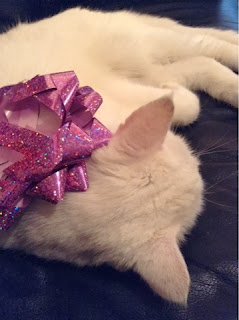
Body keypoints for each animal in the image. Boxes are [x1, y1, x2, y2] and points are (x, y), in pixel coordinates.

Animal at [0, 6, 237, 302]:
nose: (198, 162)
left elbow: (183, 102)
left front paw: (171, 93)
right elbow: (189, 101)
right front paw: (174, 90)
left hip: (148, 41)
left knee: (209, 44)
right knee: (197, 60)